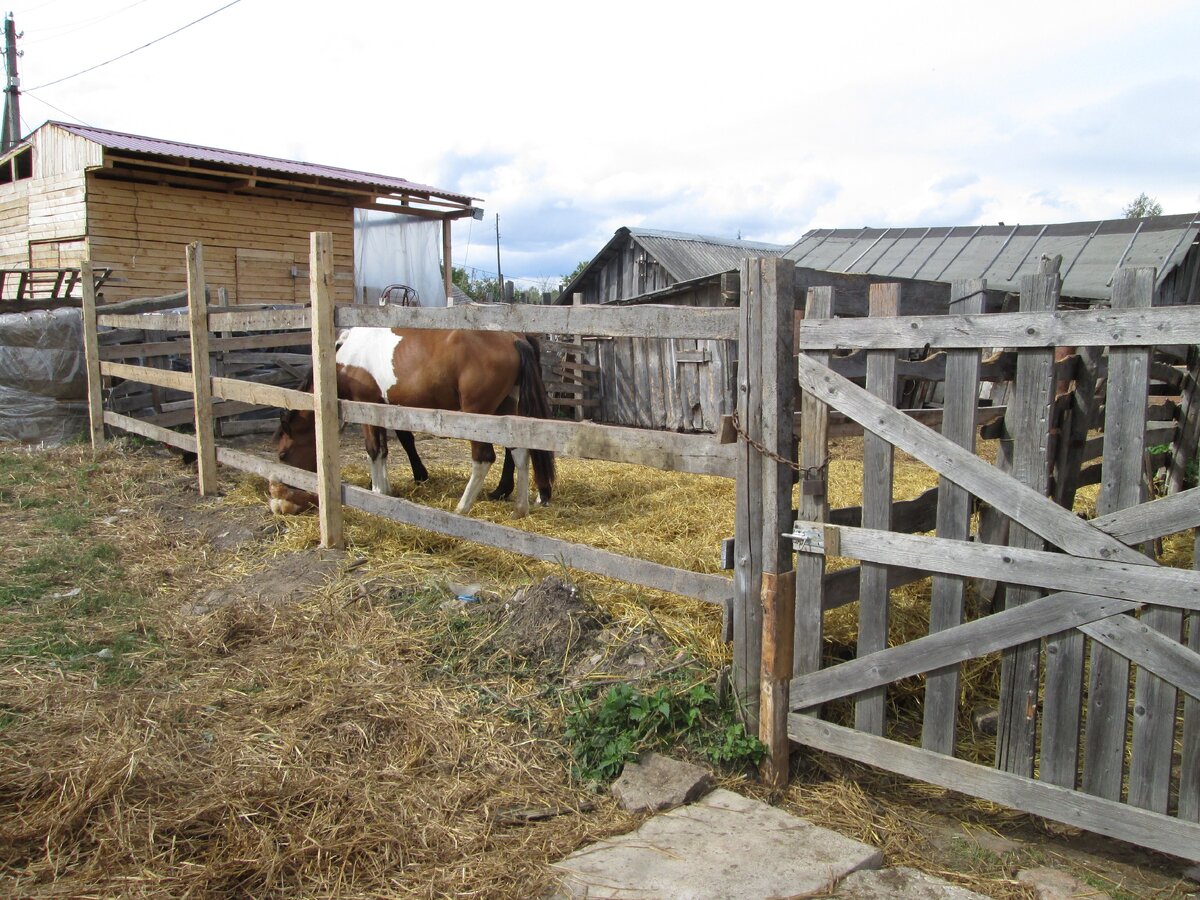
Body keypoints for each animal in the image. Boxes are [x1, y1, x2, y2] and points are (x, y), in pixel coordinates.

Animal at [270, 328, 554, 518]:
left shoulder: (365, 405)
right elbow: (383, 451)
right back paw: (519, 508)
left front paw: (376, 492)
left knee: (484, 458)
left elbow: (373, 450)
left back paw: (462, 508)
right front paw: (385, 489)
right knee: (519, 452)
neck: (345, 357)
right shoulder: (381, 409)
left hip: (478, 416)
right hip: (506, 411)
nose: (281, 504)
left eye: (284, 454)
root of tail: (514, 339)